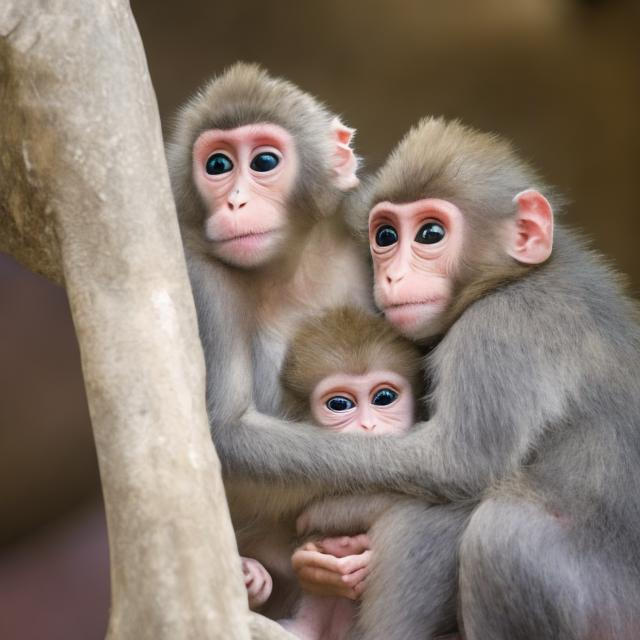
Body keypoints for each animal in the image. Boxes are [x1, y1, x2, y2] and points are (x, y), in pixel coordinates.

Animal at [166, 62, 376, 616]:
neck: (293, 271)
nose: (235, 200)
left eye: (263, 161)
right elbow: (228, 431)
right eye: (217, 164)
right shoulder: (205, 280)